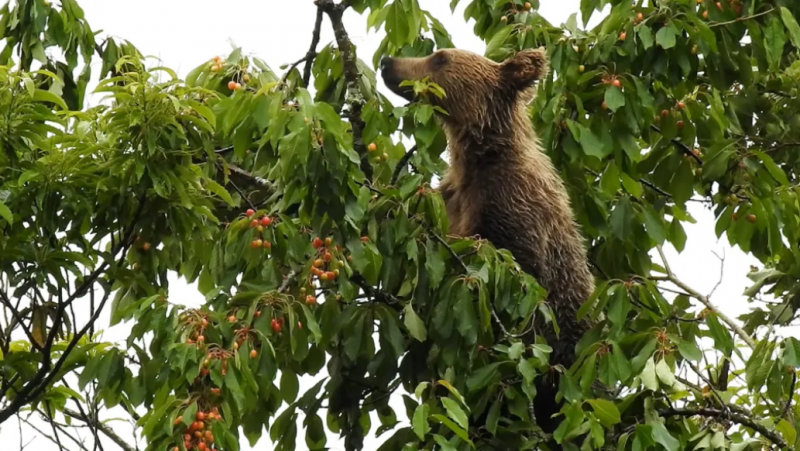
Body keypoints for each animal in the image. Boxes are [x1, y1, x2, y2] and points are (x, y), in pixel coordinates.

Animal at [380, 48, 595, 442]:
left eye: (440, 57)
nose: (389, 62)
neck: (479, 157)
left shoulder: (511, 207)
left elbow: (514, 272)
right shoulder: (451, 200)